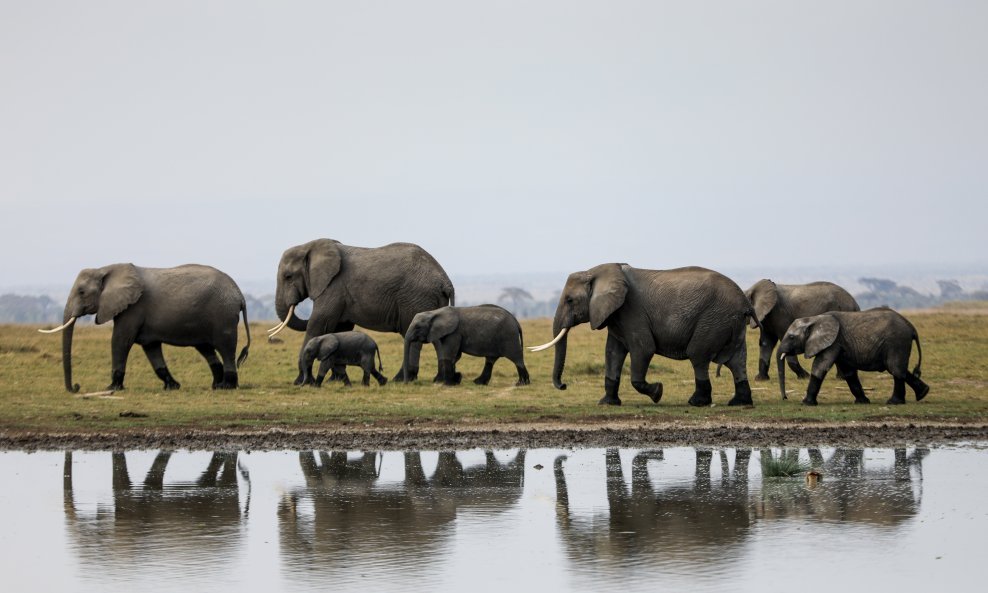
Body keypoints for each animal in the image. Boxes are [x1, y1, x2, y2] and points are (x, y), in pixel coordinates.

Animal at [41, 264, 251, 394]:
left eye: (82, 292)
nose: (76, 387)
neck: (105, 269)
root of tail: (240, 295)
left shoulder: (133, 308)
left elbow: (120, 340)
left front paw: (111, 388)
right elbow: (151, 348)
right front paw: (172, 387)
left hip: (223, 315)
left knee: (226, 348)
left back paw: (227, 387)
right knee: (206, 349)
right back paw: (217, 385)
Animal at [268, 238, 458, 382]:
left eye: (288, 277)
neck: (310, 246)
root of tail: (446, 281)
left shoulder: (333, 287)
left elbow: (318, 324)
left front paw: (301, 381)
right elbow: (341, 328)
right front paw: (334, 380)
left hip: (414, 298)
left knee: (414, 338)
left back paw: (401, 379)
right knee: (437, 338)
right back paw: (439, 379)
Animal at [532, 264, 756, 408]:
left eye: (570, 300)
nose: (563, 386)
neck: (596, 272)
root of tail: (745, 303)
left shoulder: (632, 312)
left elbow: (644, 349)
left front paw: (658, 392)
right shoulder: (616, 316)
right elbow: (612, 353)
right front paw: (607, 403)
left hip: (713, 319)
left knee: (698, 355)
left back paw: (697, 402)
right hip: (730, 322)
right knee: (736, 360)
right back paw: (739, 403)